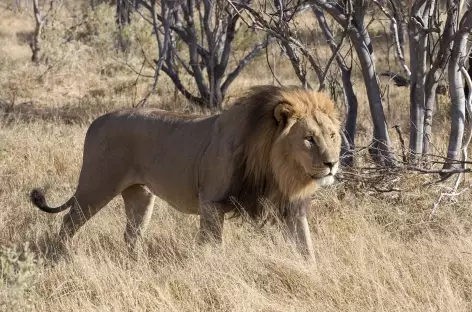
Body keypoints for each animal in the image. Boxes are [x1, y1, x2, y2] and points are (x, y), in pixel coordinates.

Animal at [29, 85, 342, 260]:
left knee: (131, 235)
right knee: (68, 223)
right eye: (309, 139)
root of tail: (97, 120)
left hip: (141, 197)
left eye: (332, 135)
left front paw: (312, 275)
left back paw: (135, 264)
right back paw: (58, 256)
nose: (332, 163)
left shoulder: (292, 207)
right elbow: (212, 246)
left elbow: (306, 248)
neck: (276, 169)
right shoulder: (212, 203)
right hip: (96, 186)